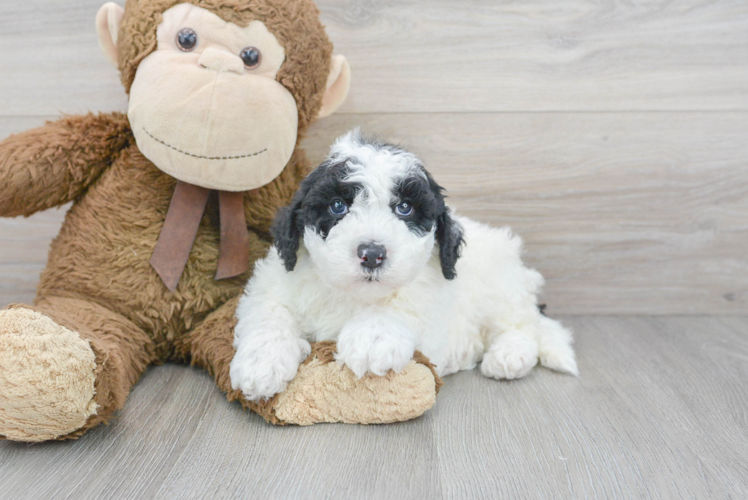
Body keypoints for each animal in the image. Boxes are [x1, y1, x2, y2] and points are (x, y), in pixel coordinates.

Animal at [231, 130, 576, 402]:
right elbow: (269, 313)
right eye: (338, 206)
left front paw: (372, 337)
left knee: (524, 325)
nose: (372, 253)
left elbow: (403, 305)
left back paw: (509, 356)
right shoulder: (274, 282)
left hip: (500, 287)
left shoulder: (432, 299)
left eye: (405, 208)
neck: (355, 296)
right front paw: (261, 364)